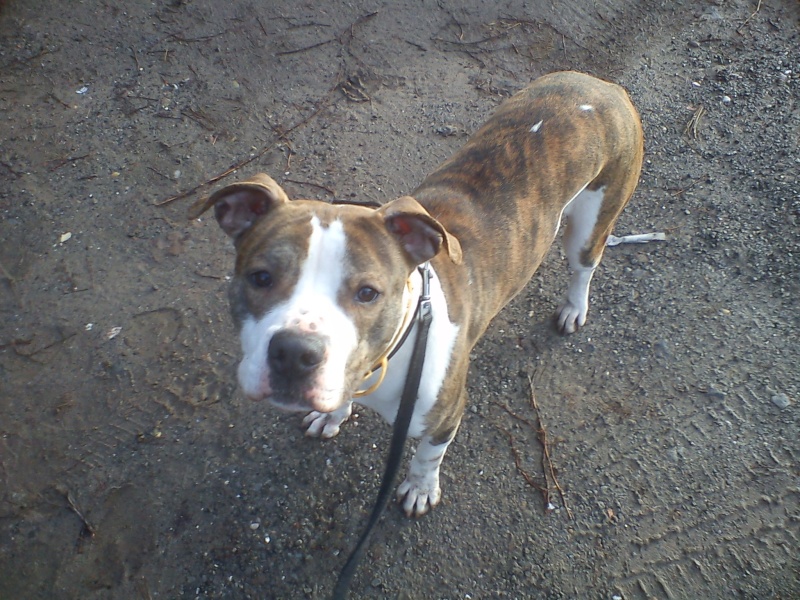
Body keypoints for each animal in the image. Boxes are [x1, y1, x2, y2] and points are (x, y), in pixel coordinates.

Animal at [192, 70, 644, 516]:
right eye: (260, 277)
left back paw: (573, 308)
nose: (294, 353)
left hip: (592, 220)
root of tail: (602, 86)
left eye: (368, 293)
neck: (386, 359)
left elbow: (428, 456)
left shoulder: (445, 416)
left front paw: (420, 488)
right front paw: (333, 417)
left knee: (584, 266)